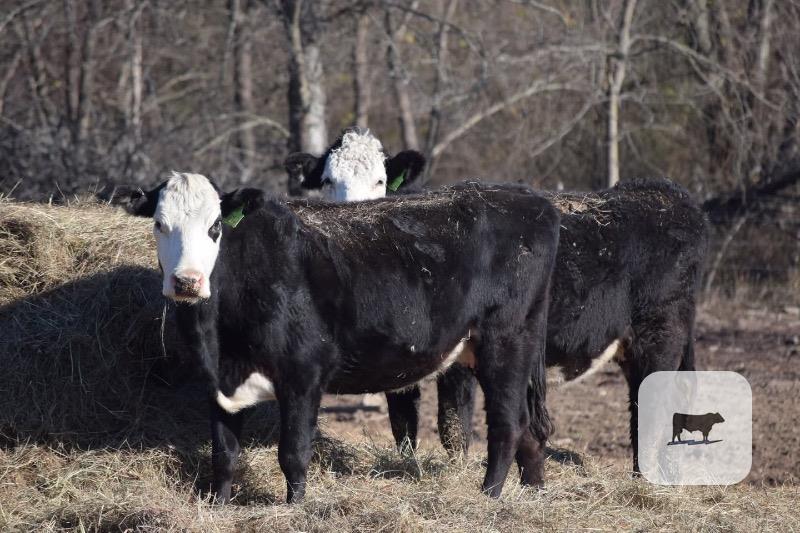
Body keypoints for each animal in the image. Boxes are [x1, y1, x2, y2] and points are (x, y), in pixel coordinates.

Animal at [127, 172, 560, 503]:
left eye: (215, 226)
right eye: (159, 224)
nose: (186, 281)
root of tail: (530, 199)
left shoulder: (303, 373)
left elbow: (293, 452)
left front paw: (294, 508)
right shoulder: (218, 382)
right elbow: (224, 454)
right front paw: (218, 505)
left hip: (505, 341)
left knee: (507, 422)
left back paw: (488, 495)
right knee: (528, 427)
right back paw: (533, 491)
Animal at [289, 134, 710, 473]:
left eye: (380, 180)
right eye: (327, 180)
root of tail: (665, 192)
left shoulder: (454, 359)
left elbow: (453, 426)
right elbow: (403, 424)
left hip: (659, 335)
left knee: (652, 411)